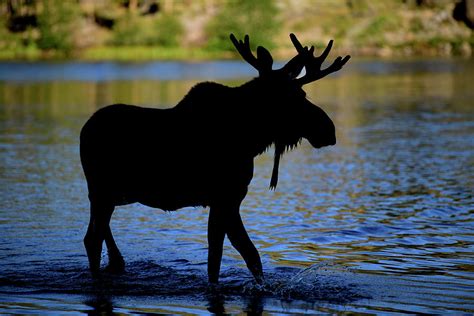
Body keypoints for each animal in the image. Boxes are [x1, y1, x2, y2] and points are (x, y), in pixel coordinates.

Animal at [79, 32, 350, 284]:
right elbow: (228, 257)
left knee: (99, 233)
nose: (329, 129)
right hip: (102, 190)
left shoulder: (229, 200)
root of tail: (84, 130)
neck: (251, 138)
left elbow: (240, 257)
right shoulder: (224, 197)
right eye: (296, 96)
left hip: (108, 194)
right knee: (92, 238)